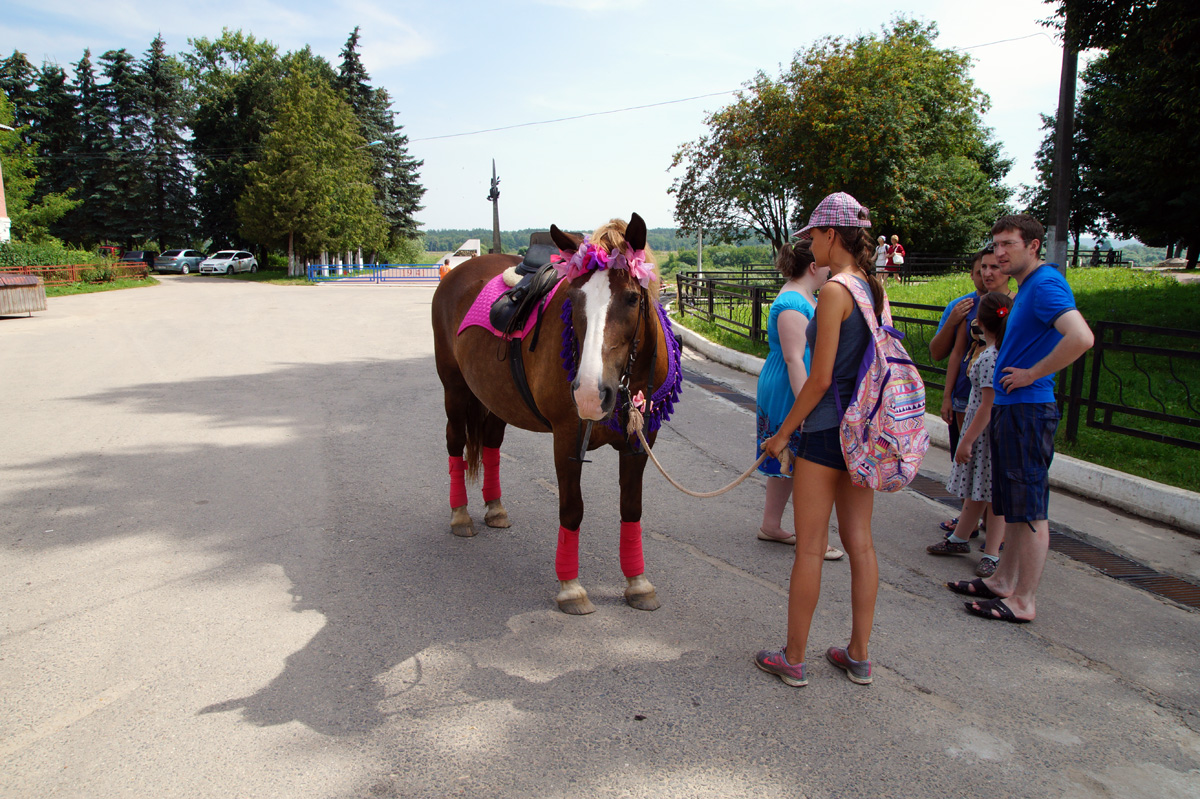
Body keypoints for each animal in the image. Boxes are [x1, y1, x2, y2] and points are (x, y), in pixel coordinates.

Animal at [432, 209, 681, 609]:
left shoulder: (640, 442)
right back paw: (460, 516)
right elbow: (572, 509)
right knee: (455, 442)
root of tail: (457, 272)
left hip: (496, 399)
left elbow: (631, 508)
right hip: (454, 391)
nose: (591, 394)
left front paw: (637, 582)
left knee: (491, 443)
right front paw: (570, 587)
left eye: (631, 298)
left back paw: (495, 508)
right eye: (574, 298)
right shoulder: (566, 439)